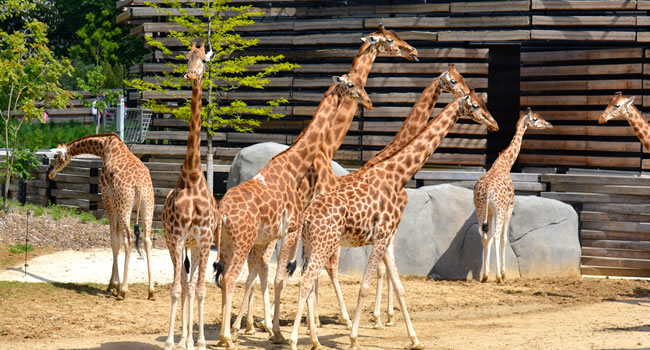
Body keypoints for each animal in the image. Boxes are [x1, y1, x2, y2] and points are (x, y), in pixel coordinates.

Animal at [47, 133, 156, 300]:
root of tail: (139, 184)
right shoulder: (115, 202)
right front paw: (112, 285)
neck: (104, 147)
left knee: (129, 238)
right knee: (147, 240)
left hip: (125, 205)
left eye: (56, 157)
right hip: (147, 205)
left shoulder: (107, 197)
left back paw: (123, 291)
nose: (50, 173)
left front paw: (114, 285)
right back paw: (151, 291)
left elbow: (114, 240)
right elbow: (116, 239)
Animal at [214, 72, 372, 348]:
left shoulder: (273, 236)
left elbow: (270, 275)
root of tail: (222, 213)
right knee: (231, 277)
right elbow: (280, 278)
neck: (294, 165)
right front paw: (277, 332)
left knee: (223, 277)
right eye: (351, 85)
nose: (368, 101)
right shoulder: (290, 229)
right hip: (242, 242)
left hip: (226, 244)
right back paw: (226, 338)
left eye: (361, 83)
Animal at [288, 91, 496, 350]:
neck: (398, 176)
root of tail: (306, 218)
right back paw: (294, 340)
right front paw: (354, 338)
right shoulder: (381, 236)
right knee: (307, 280)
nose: (494, 124)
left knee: (307, 280)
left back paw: (314, 339)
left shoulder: (386, 238)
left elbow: (399, 287)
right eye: (476, 106)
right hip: (324, 243)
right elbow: (365, 286)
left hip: (311, 244)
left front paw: (415, 339)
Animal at [474, 107, 548, 284]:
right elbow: (504, 238)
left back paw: (485, 277)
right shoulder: (509, 208)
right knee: (496, 236)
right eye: (535, 119)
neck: (504, 165)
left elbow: (489, 237)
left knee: (485, 236)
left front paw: (486, 274)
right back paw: (499, 277)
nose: (549, 124)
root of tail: (487, 190)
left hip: (480, 209)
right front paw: (503, 273)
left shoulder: (490, 212)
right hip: (500, 210)